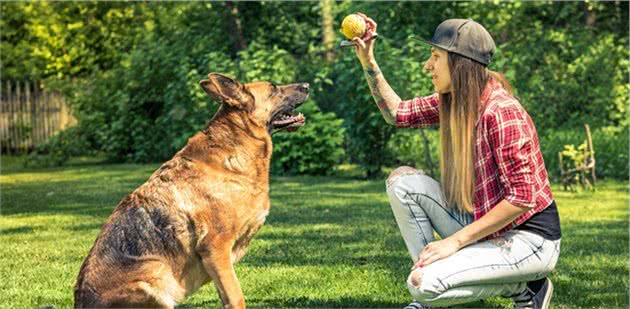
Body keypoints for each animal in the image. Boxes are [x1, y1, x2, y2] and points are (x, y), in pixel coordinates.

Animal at [73, 73, 308, 306]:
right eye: (274, 88)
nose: (306, 85)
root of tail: (81, 303)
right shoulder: (216, 248)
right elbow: (236, 297)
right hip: (157, 276)